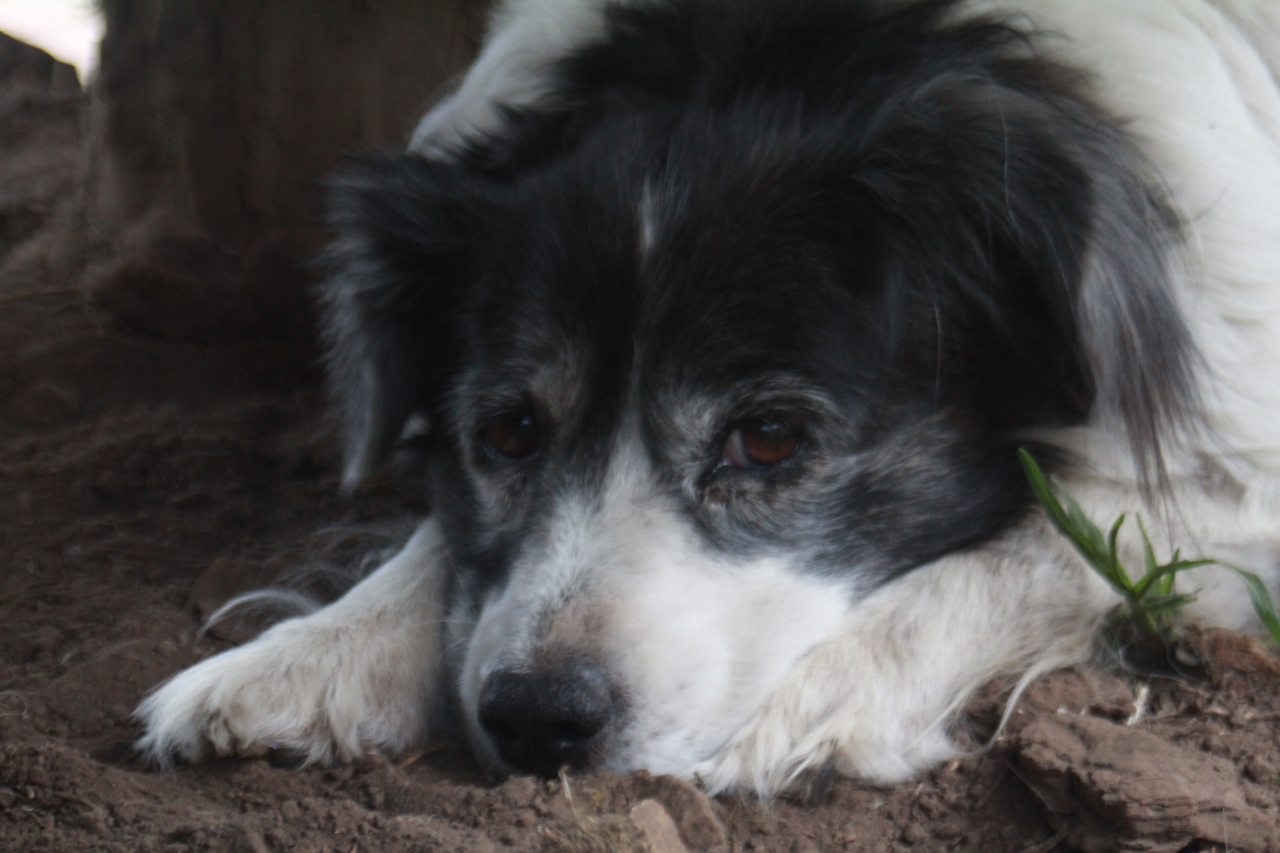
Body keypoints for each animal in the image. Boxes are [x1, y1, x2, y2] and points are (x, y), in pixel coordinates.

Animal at [135, 1, 1280, 799]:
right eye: (508, 430)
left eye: (767, 439)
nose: (537, 719)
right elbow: (449, 547)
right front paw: (303, 659)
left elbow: (1055, 532)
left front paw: (820, 701)